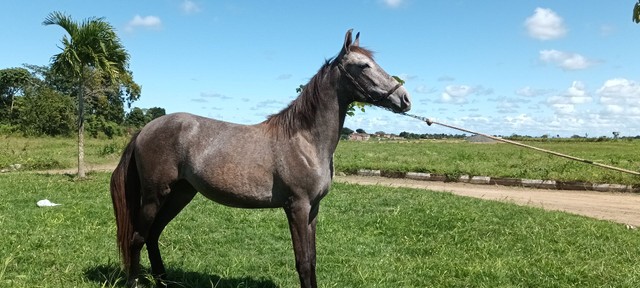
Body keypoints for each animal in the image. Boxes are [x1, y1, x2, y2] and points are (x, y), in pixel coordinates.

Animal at [110, 29, 410, 288]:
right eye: (363, 66)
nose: (405, 98)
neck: (305, 140)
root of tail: (145, 130)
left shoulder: (313, 209)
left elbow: (312, 260)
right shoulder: (297, 207)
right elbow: (303, 262)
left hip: (180, 194)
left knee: (153, 235)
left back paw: (164, 280)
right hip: (155, 195)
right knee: (137, 238)